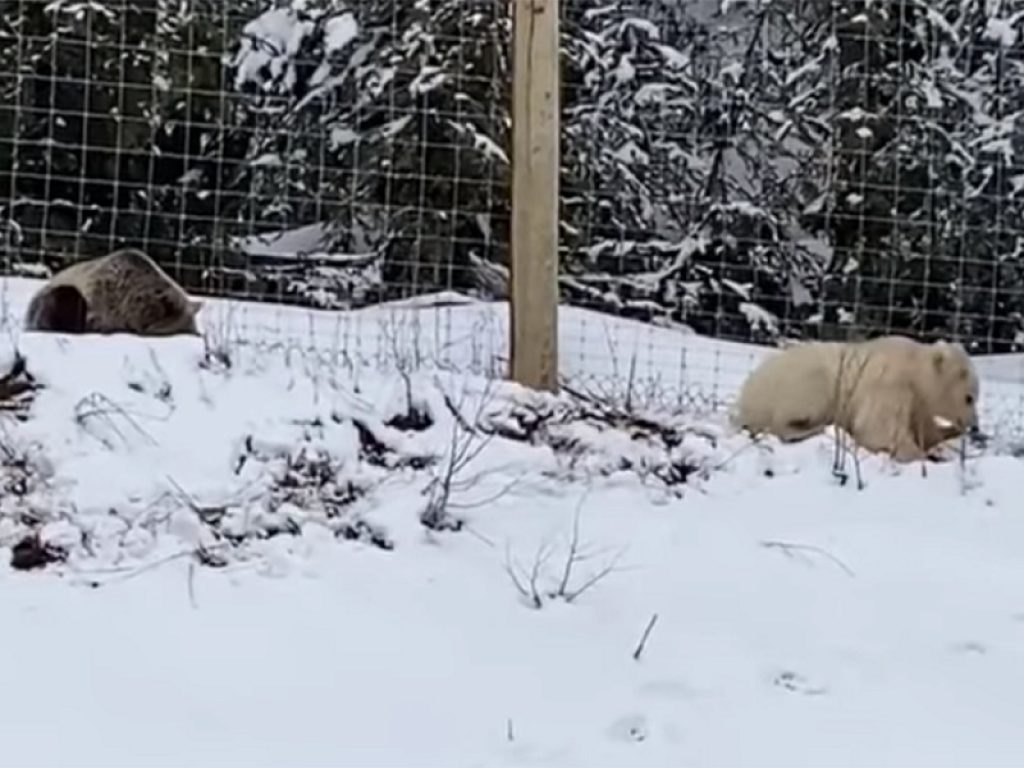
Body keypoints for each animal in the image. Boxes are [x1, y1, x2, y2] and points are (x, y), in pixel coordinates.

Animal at [732, 335, 979, 463]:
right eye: (969, 398)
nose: (974, 426)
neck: (914, 370)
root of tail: (745, 396)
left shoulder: (917, 402)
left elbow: (924, 428)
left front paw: (945, 436)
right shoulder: (890, 387)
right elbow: (878, 428)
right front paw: (921, 454)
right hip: (802, 383)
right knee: (788, 418)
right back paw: (812, 428)